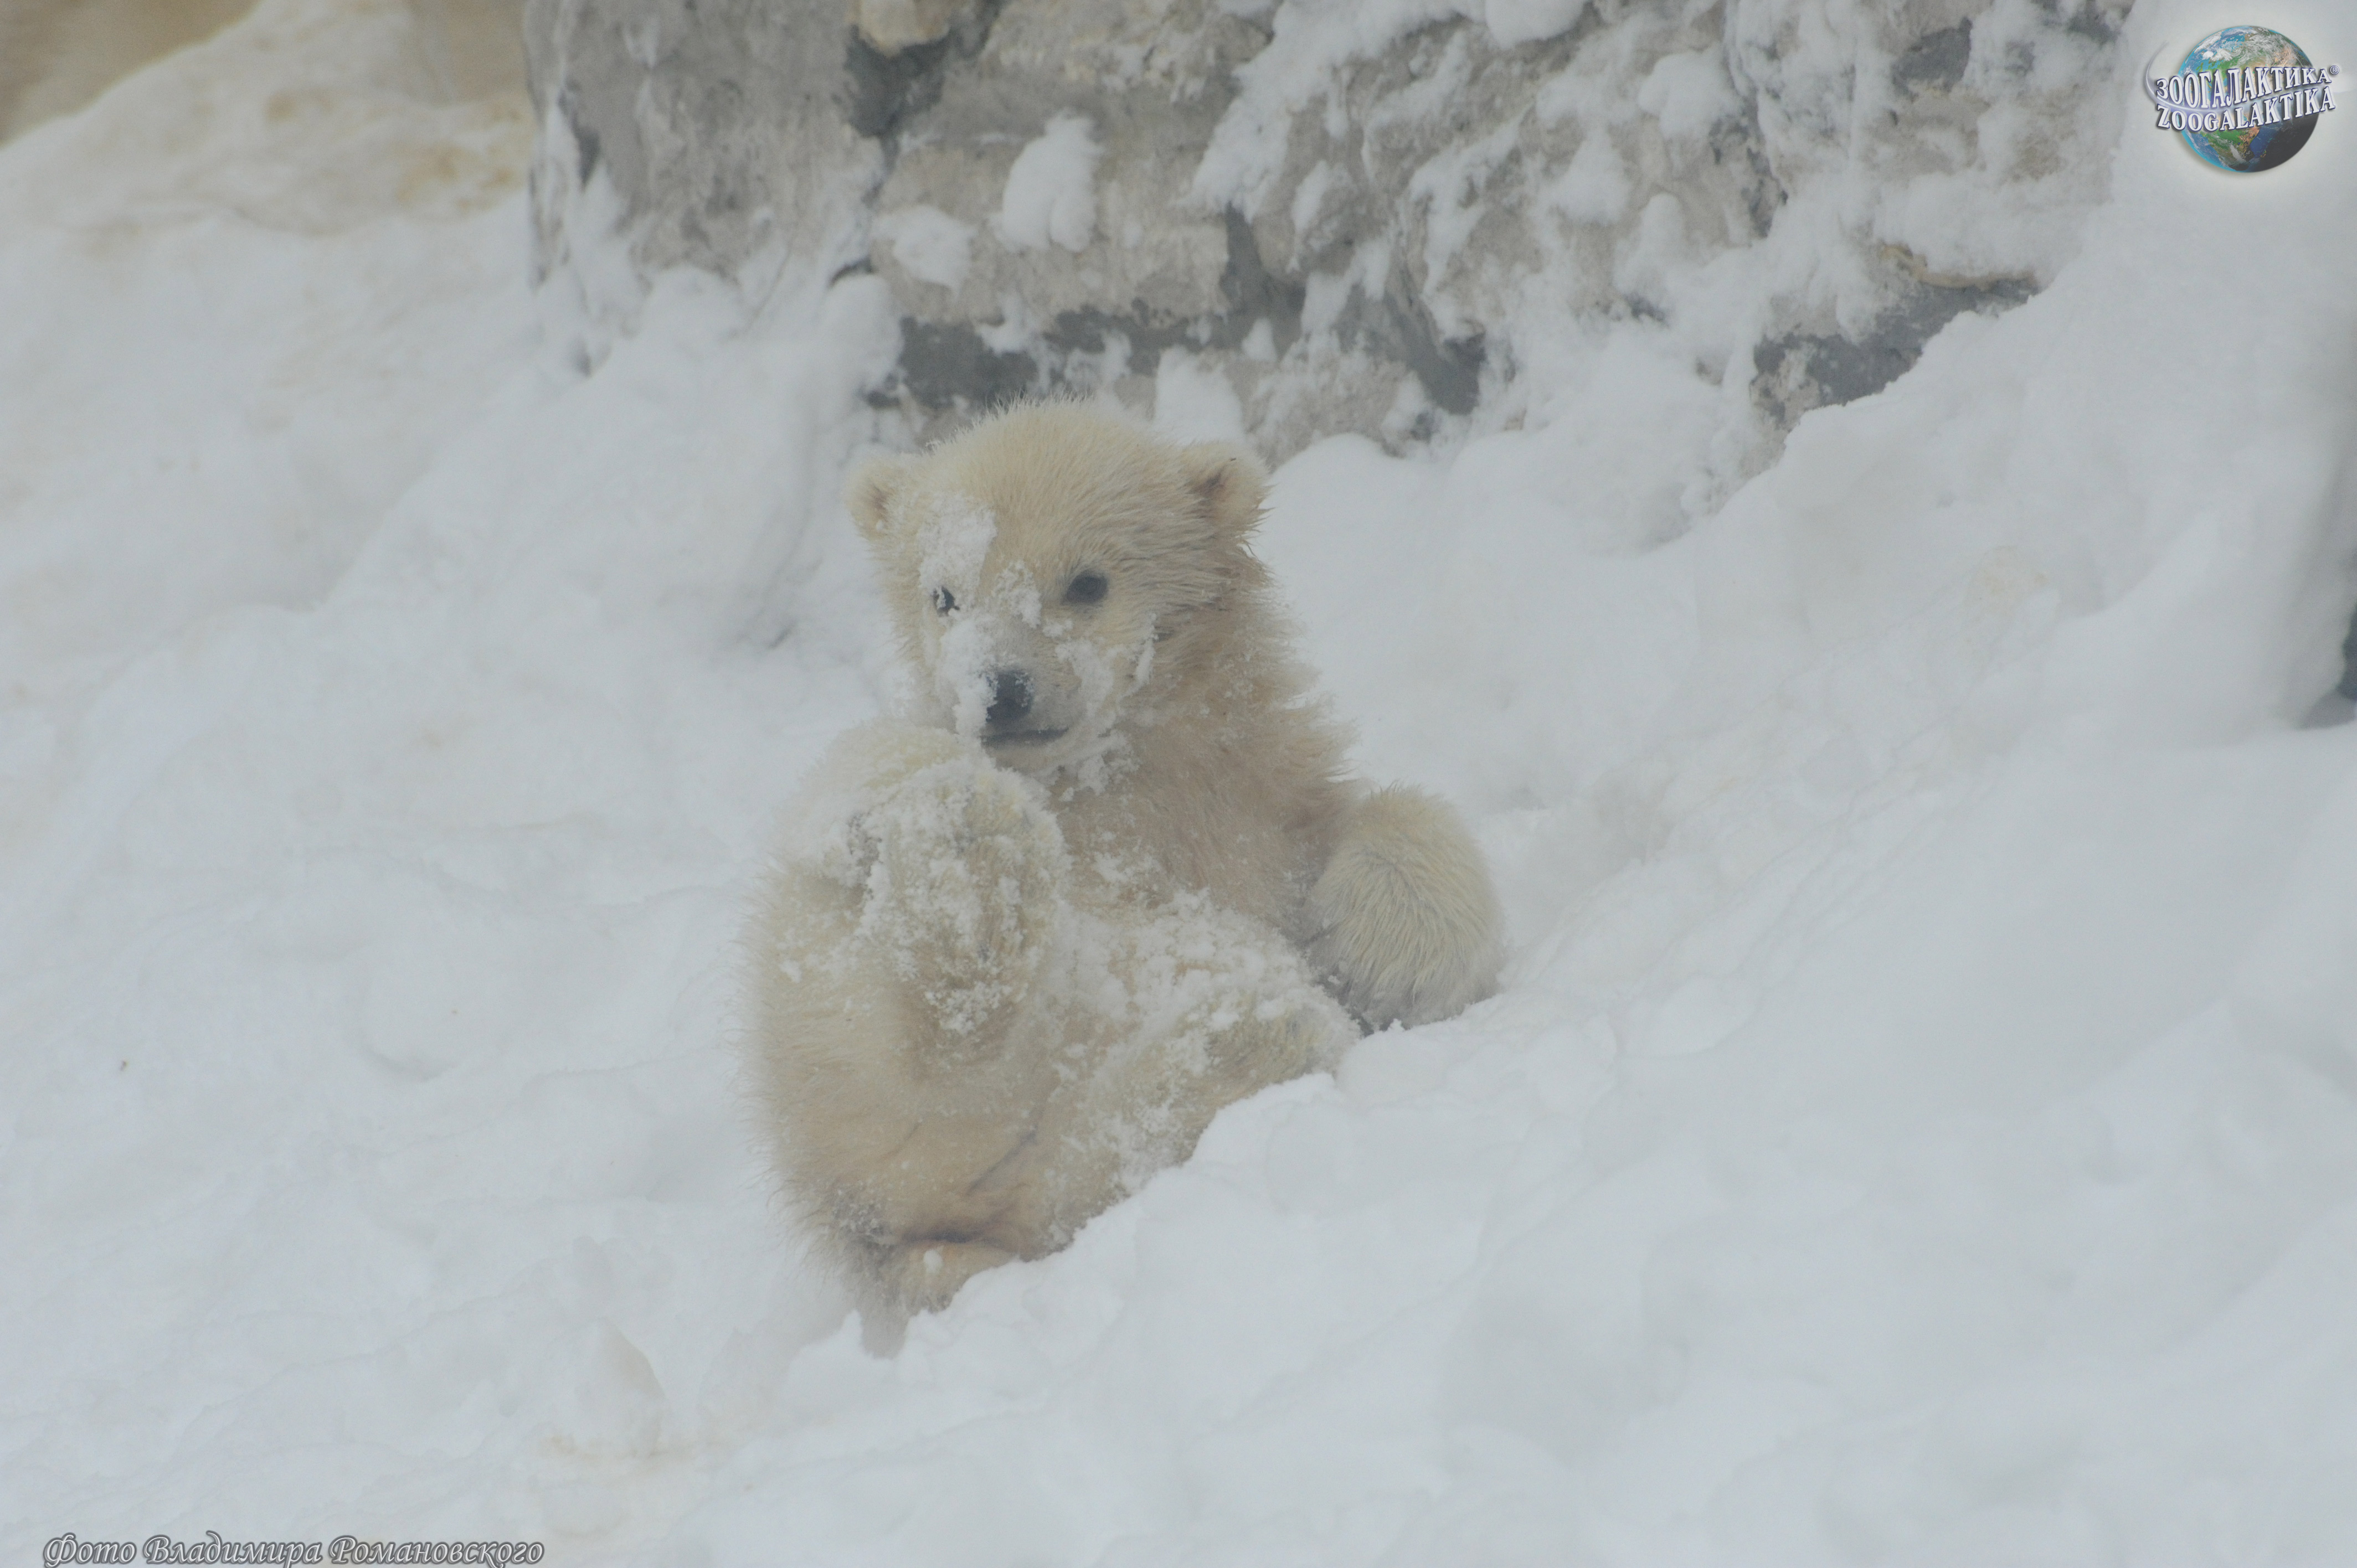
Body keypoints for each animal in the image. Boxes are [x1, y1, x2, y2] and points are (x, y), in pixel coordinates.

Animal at [744, 402, 1504, 1342]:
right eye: (944, 593)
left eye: (1087, 582)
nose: (1000, 693)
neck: (1113, 786)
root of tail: (911, 1230)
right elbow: (867, 767)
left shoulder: (1255, 813)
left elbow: (1379, 823)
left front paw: (1393, 961)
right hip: (832, 1077)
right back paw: (973, 869)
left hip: (1022, 1153)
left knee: (1103, 1156)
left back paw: (1229, 1037)